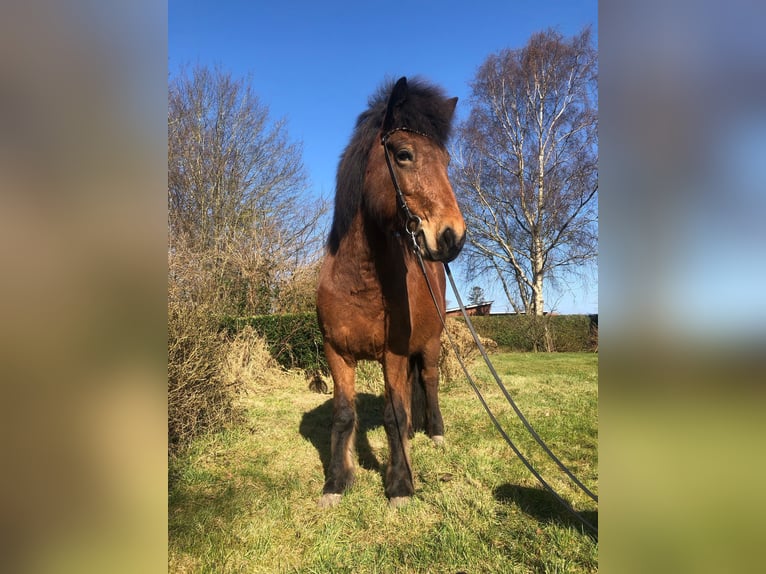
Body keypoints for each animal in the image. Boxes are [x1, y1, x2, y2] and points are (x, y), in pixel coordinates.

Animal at [316, 76, 466, 508]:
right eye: (403, 155)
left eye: (446, 161)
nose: (453, 236)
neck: (359, 281)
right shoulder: (337, 353)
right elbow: (344, 415)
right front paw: (336, 481)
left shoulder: (393, 354)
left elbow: (393, 414)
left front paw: (400, 484)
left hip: (430, 345)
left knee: (428, 381)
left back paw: (435, 432)